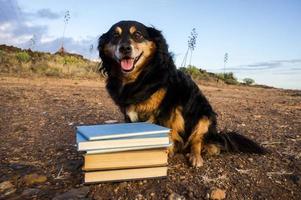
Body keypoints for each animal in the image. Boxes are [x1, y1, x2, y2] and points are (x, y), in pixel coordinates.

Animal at [97, 20, 264, 167]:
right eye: (115, 35)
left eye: (137, 34)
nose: (124, 48)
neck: (138, 79)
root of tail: (216, 135)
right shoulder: (128, 112)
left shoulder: (168, 110)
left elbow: (167, 133)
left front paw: (165, 152)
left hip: (204, 116)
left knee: (198, 141)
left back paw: (197, 156)